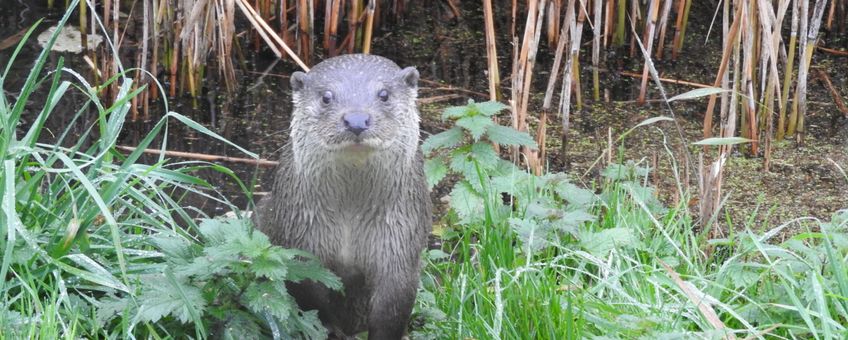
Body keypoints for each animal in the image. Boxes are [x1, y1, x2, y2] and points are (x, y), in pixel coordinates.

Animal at [253, 54, 430, 338]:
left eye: (384, 94)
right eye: (326, 97)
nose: (356, 120)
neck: (350, 215)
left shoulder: (399, 248)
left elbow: (391, 311)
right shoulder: (302, 241)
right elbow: (312, 301)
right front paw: (329, 330)